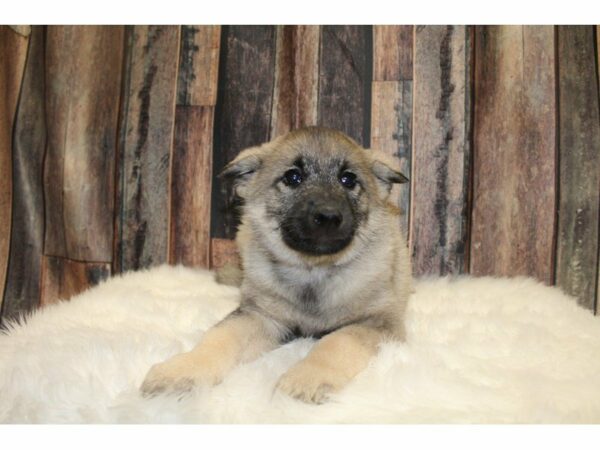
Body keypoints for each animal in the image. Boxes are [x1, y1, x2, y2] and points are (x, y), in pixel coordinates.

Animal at [141, 125, 412, 404]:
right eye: (293, 177)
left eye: (348, 179)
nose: (328, 217)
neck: (313, 269)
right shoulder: (260, 315)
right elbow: (220, 336)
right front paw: (183, 370)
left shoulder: (376, 322)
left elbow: (337, 342)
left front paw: (307, 378)